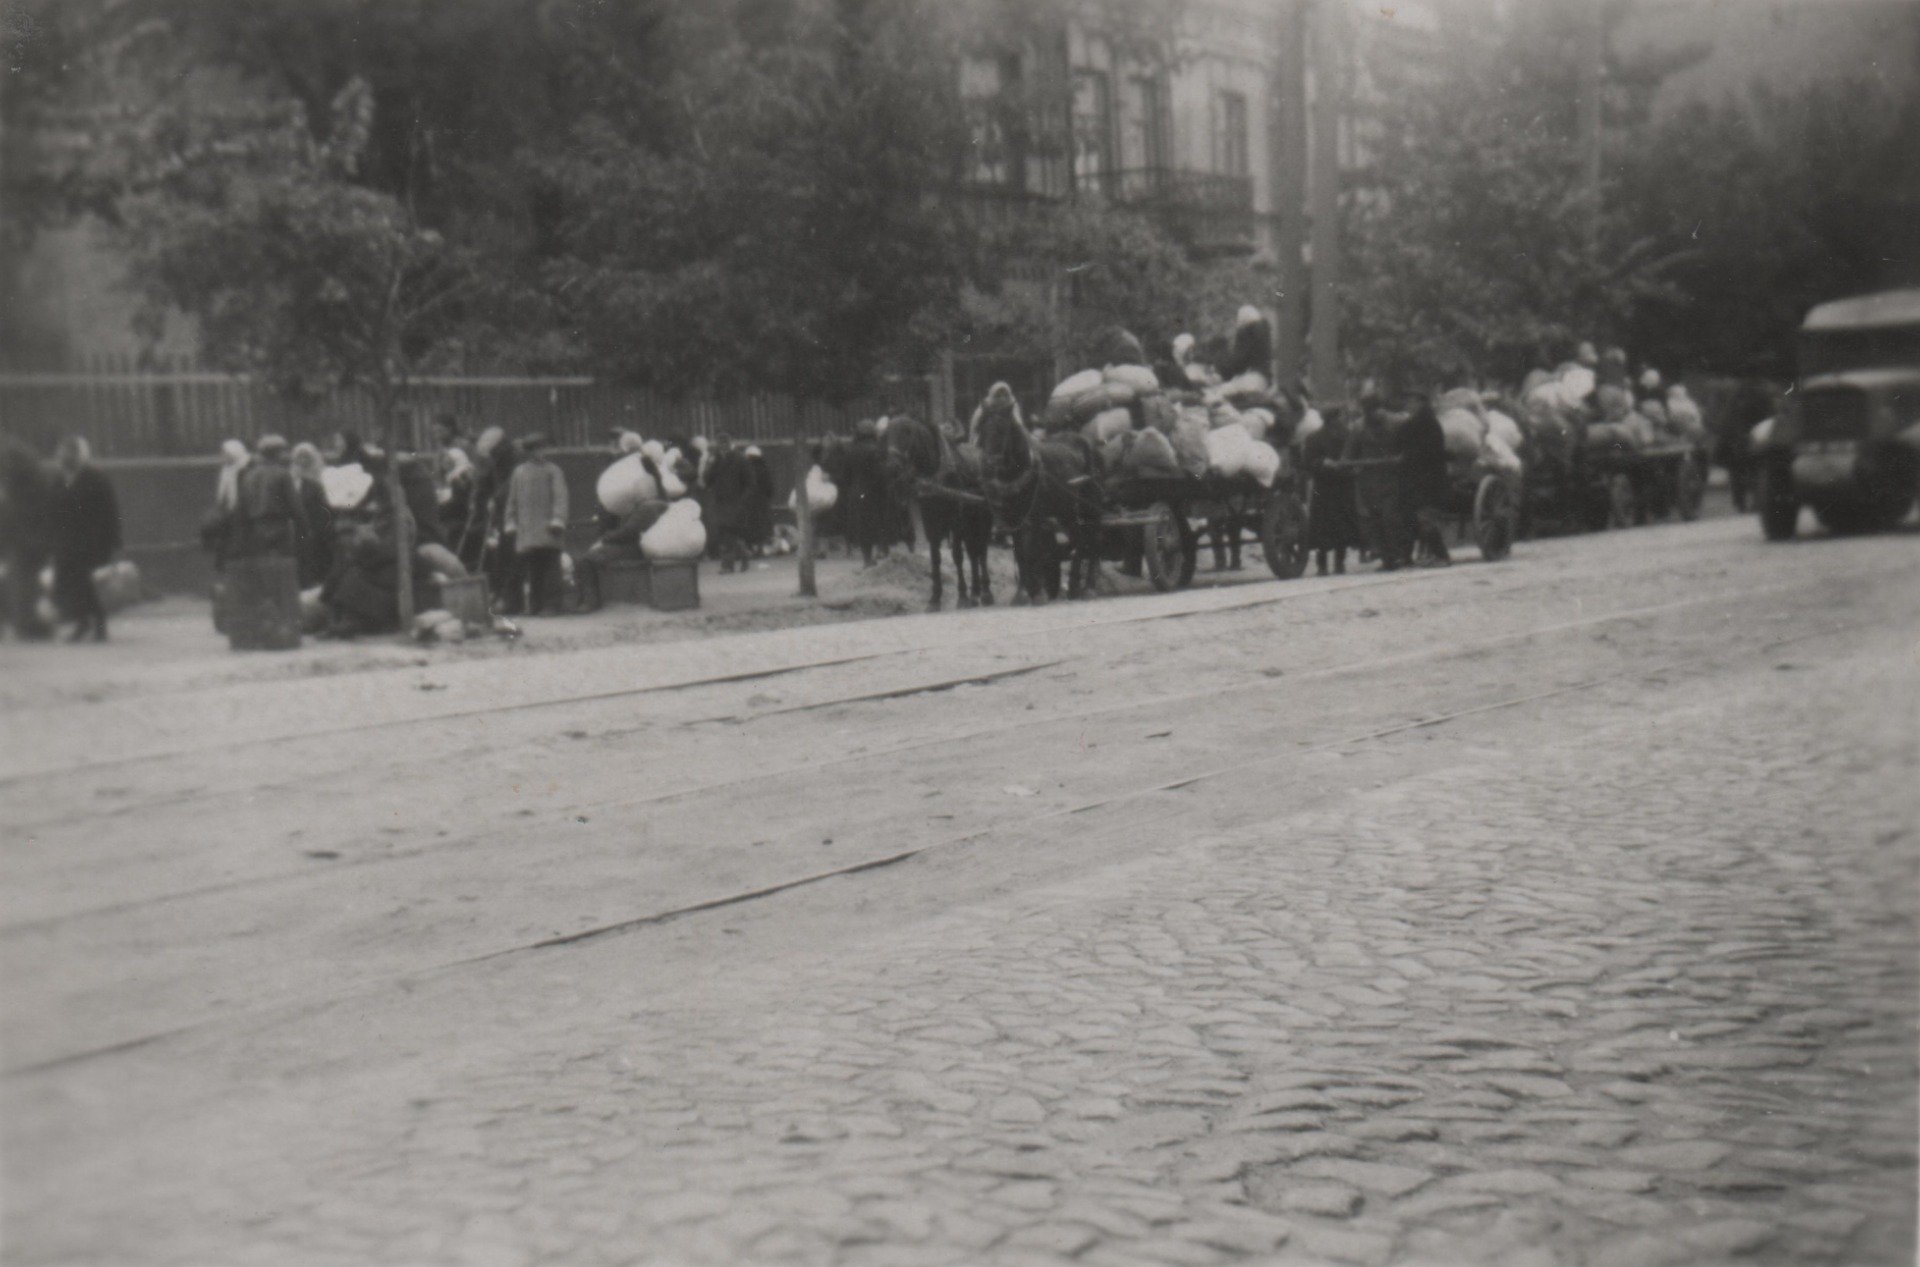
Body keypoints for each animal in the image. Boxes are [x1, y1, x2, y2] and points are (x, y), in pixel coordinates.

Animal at [883, 416, 998, 614]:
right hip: (970, 524)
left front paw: (962, 596)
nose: (891, 468)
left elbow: (958, 556)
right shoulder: (930, 522)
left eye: (907, 433)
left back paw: (985, 593)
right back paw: (975, 592)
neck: (935, 478)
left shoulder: (956, 521)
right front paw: (935, 598)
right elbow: (935, 558)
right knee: (973, 553)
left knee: (981, 552)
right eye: (887, 435)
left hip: (982, 520)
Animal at [967, 382, 1105, 602]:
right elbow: (1020, 553)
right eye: (981, 427)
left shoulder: (1034, 516)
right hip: (1066, 511)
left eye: (1003, 428)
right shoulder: (1014, 517)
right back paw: (1074, 586)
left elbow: (1032, 551)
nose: (988, 463)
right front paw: (1022, 593)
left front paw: (1037, 593)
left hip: (1092, 507)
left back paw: (1088, 586)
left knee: (1094, 540)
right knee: (1080, 539)